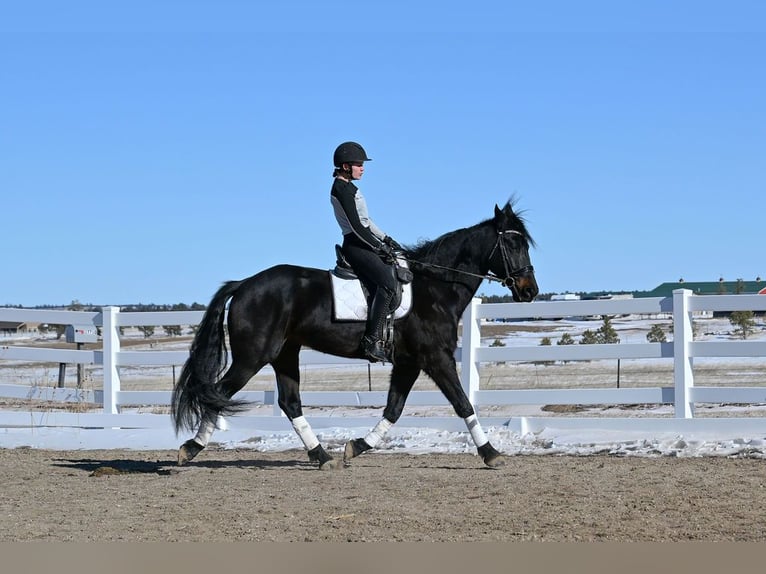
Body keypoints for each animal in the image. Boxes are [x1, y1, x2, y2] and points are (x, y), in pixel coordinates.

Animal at [171, 201, 538, 469]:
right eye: (512, 242)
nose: (530, 290)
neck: (435, 287)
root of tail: (244, 284)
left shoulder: (408, 362)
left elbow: (393, 410)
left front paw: (356, 447)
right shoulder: (435, 358)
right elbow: (463, 403)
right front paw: (491, 453)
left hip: (285, 353)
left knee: (289, 402)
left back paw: (322, 456)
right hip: (253, 356)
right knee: (218, 393)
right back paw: (190, 449)